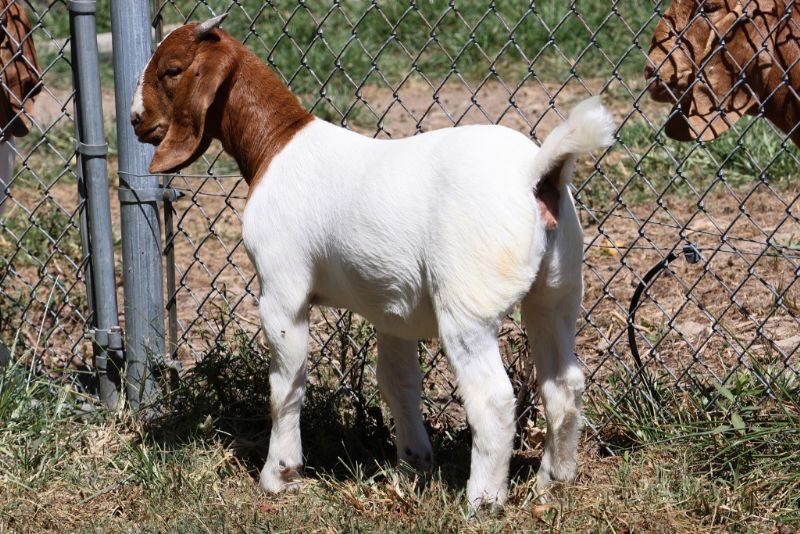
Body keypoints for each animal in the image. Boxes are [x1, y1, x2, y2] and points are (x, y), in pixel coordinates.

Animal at [130, 15, 615, 508]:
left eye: (172, 70)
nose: (135, 120)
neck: (278, 143)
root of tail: (535, 172)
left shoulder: (282, 291)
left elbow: (286, 385)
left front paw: (280, 474)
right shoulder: (393, 311)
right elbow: (398, 384)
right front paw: (413, 466)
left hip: (468, 304)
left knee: (493, 398)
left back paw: (483, 501)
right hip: (557, 292)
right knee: (564, 384)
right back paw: (553, 481)